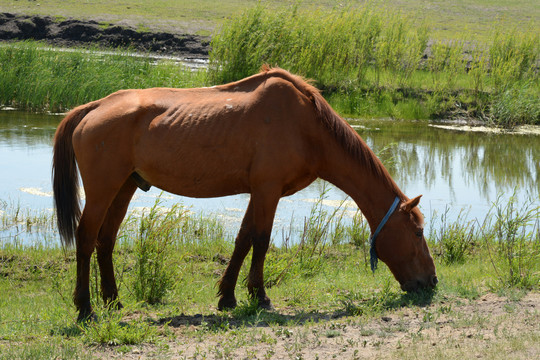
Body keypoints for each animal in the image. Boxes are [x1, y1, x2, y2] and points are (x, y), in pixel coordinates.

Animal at [52, 64, 436, 320]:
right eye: (418, 233)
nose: (431, 282)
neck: (307, 127)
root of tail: (91, 108)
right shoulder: (268, 190)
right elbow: (261, 241)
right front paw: (260, 296)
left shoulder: (260, 192)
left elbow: (243, 240)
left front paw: (228, 297)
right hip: (103, 190)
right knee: (86, 238)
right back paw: (85, 308)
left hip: (125, 187)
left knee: (105, 241)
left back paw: (113, 301)